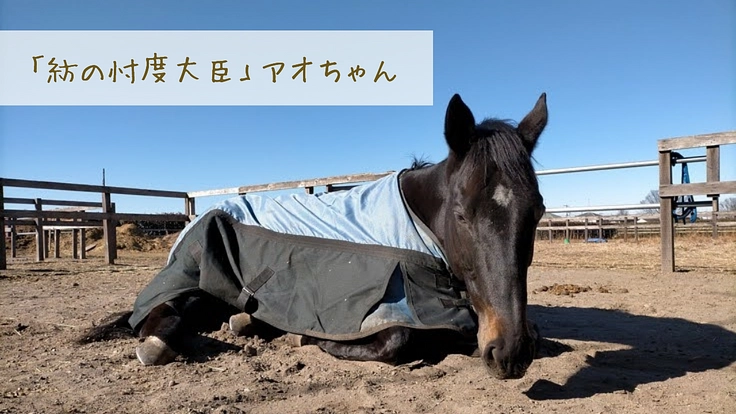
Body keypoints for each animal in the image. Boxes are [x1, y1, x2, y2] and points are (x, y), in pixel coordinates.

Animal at [79, 92, 548, 380]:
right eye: (461, 214)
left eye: (538, 212)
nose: (509, 353)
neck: (409, 222)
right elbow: (395, 341)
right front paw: (310, 338)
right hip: (188, 276)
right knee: (163, 312)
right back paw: (162, 339)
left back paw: (246, 322)